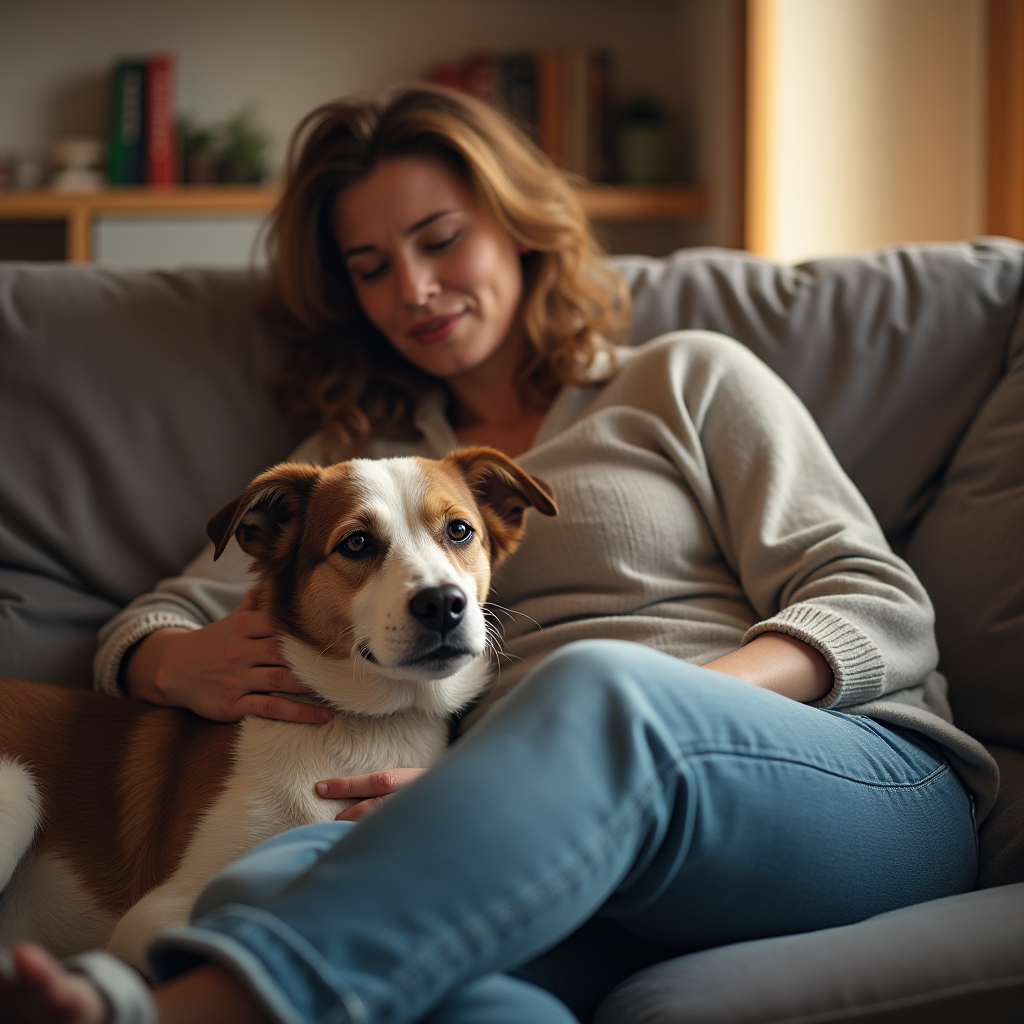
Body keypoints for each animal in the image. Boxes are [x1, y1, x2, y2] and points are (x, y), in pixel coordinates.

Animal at [0, 446, 557, 966]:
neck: (368, 725)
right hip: (19, 790)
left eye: (460, 531)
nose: (443, 603)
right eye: (357, 542)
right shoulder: (157, 913)